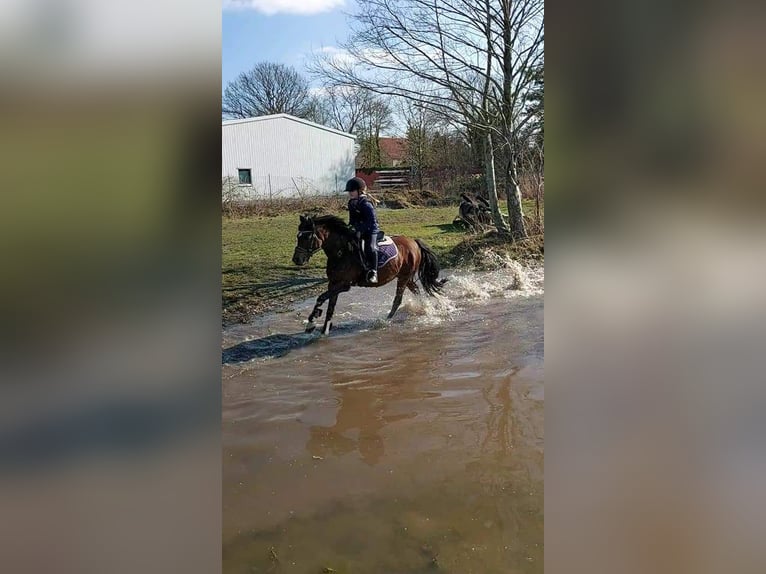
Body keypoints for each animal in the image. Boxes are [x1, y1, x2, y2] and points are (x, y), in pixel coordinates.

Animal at [294, 215, 450, 332]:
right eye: (298, 236)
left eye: (307, 237)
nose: (296, 259)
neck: (341, 252)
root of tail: (414, 242)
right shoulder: (333, 284)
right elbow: (329, 307)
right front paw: (323, 329)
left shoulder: (344, 285)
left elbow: (321, 298)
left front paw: (311, 322)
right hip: (405, 276)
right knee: (416, 290)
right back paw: (425, 309)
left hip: (404, 277)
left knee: (398, 299)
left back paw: (385, 321)